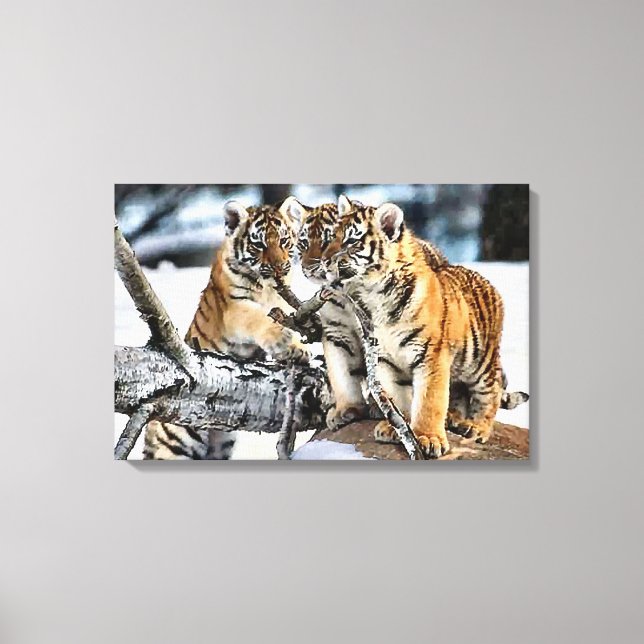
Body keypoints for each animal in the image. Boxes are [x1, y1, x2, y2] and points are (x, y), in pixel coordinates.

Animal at [143, 198, 308, 460]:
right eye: (259, 244)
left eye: (283, 240)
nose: (280, 268)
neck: (268, 289)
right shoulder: (235, 308)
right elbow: (259, 318)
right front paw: (284, 340)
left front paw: (295, 350)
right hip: (177, 443)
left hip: (220, 444)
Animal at [316, 194, 528, 458]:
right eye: (331, 236)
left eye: (351, 241)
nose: (324, 261)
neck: (373, 294)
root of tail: (485, 280)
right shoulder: (384, 359)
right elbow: (397, 399)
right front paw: (395, 428)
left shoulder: (431, 356)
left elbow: (429, 401)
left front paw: (428, 438)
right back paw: (454, 420)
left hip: (480, 362)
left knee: (490, 393)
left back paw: (476, 428)